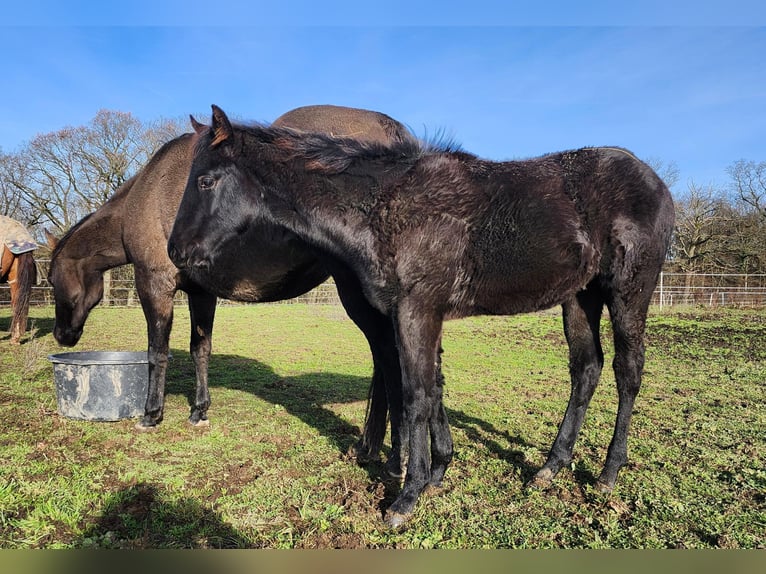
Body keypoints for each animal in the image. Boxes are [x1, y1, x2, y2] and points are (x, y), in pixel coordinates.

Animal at [46, 104, 417, 473]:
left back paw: (391, 456)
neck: (144, 195)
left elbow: (157, 352)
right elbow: (200, 349)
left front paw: (151, 415)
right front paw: (199, 411)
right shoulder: (200, 292)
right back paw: (369, 448)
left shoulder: (154, 285)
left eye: (49, 279)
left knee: (389, 359)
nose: (61, 335)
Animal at [167, 105, 676, 528]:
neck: (386, 207)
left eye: (206, 180)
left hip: (628, 291)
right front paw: (436, 472)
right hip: (580, 297)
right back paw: (550, 467)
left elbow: (414, 396)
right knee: (586, 369)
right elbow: (432, 390)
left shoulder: (417, 310)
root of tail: (658, 184)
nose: (175, 252)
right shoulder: (411, 315)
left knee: (628, 370)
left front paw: (406, 497)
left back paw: (608, 472)